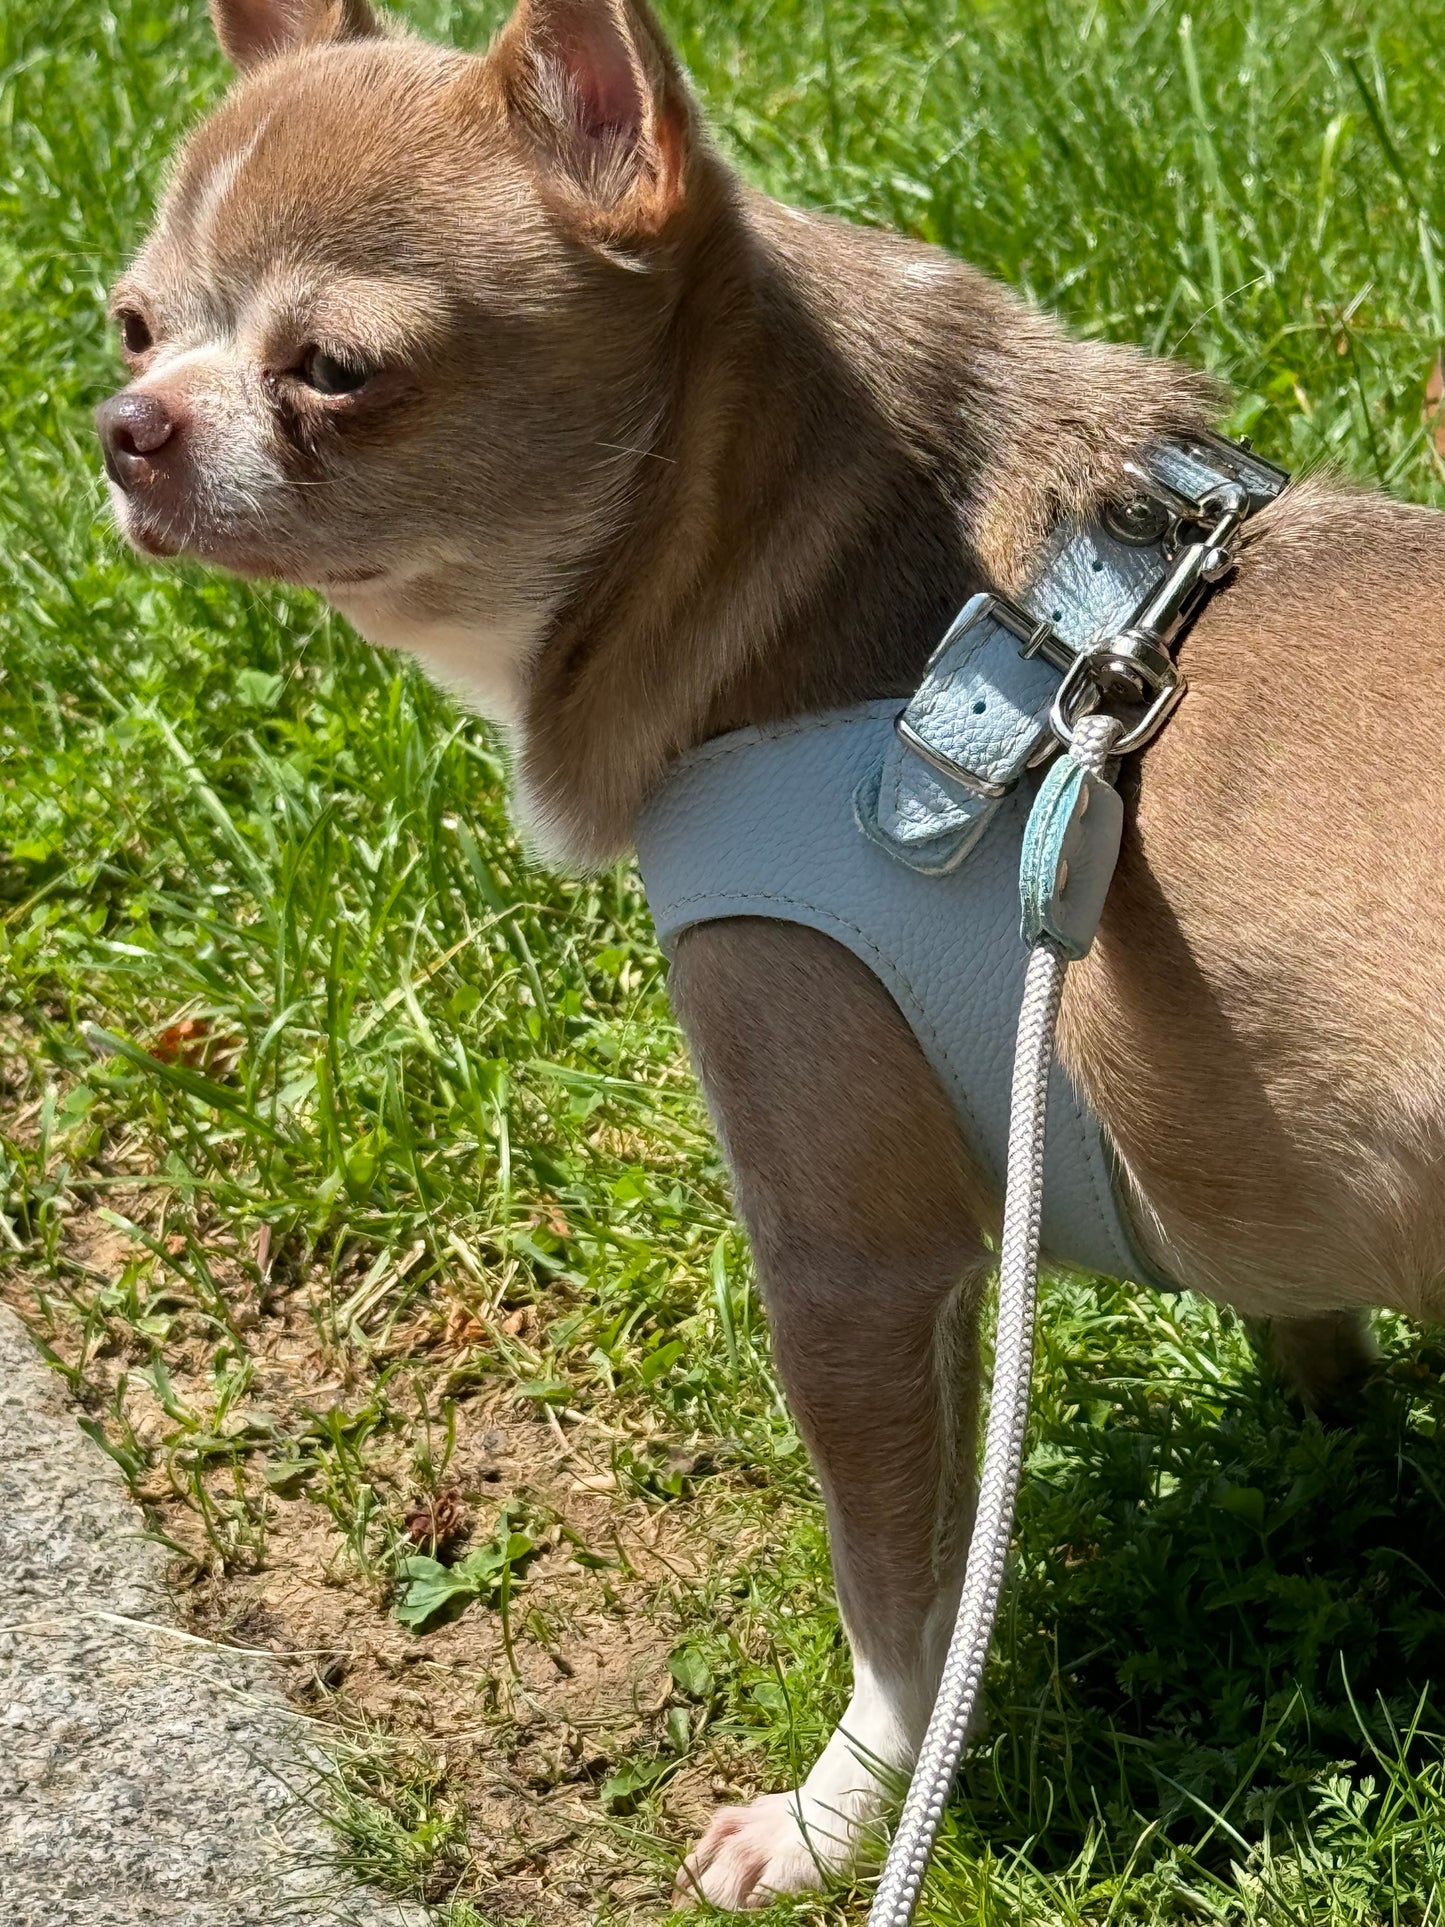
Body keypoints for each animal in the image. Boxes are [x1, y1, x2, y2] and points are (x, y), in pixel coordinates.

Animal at [96, 0, 1445, 1903]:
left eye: (336, 369)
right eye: (133, 326)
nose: (125, 426)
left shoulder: (848, 1262)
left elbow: (906, 1601)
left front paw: (839, 1814)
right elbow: (1303, 1328)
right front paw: (1351, 1464)